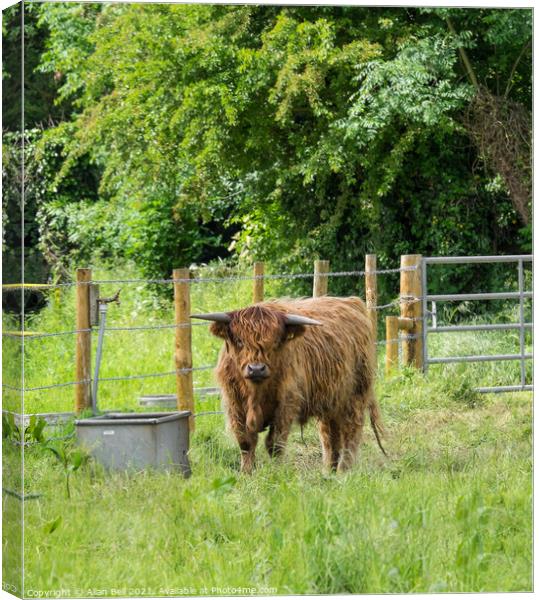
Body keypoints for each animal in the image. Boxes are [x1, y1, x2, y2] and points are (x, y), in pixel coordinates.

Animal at [192, 296, 386, 474]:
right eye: (239, 341)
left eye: (275, 342)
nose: (256, 369)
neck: (256, 393)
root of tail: (352, 301)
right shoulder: (234, 403)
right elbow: (246, 442)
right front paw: (247, 473)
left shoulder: (286, 403)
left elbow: (275, 443)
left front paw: (276, 473)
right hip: (331, 400)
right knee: (329, 433)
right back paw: (328, 470)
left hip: (356, 395)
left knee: (351, 430)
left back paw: (344, 471)